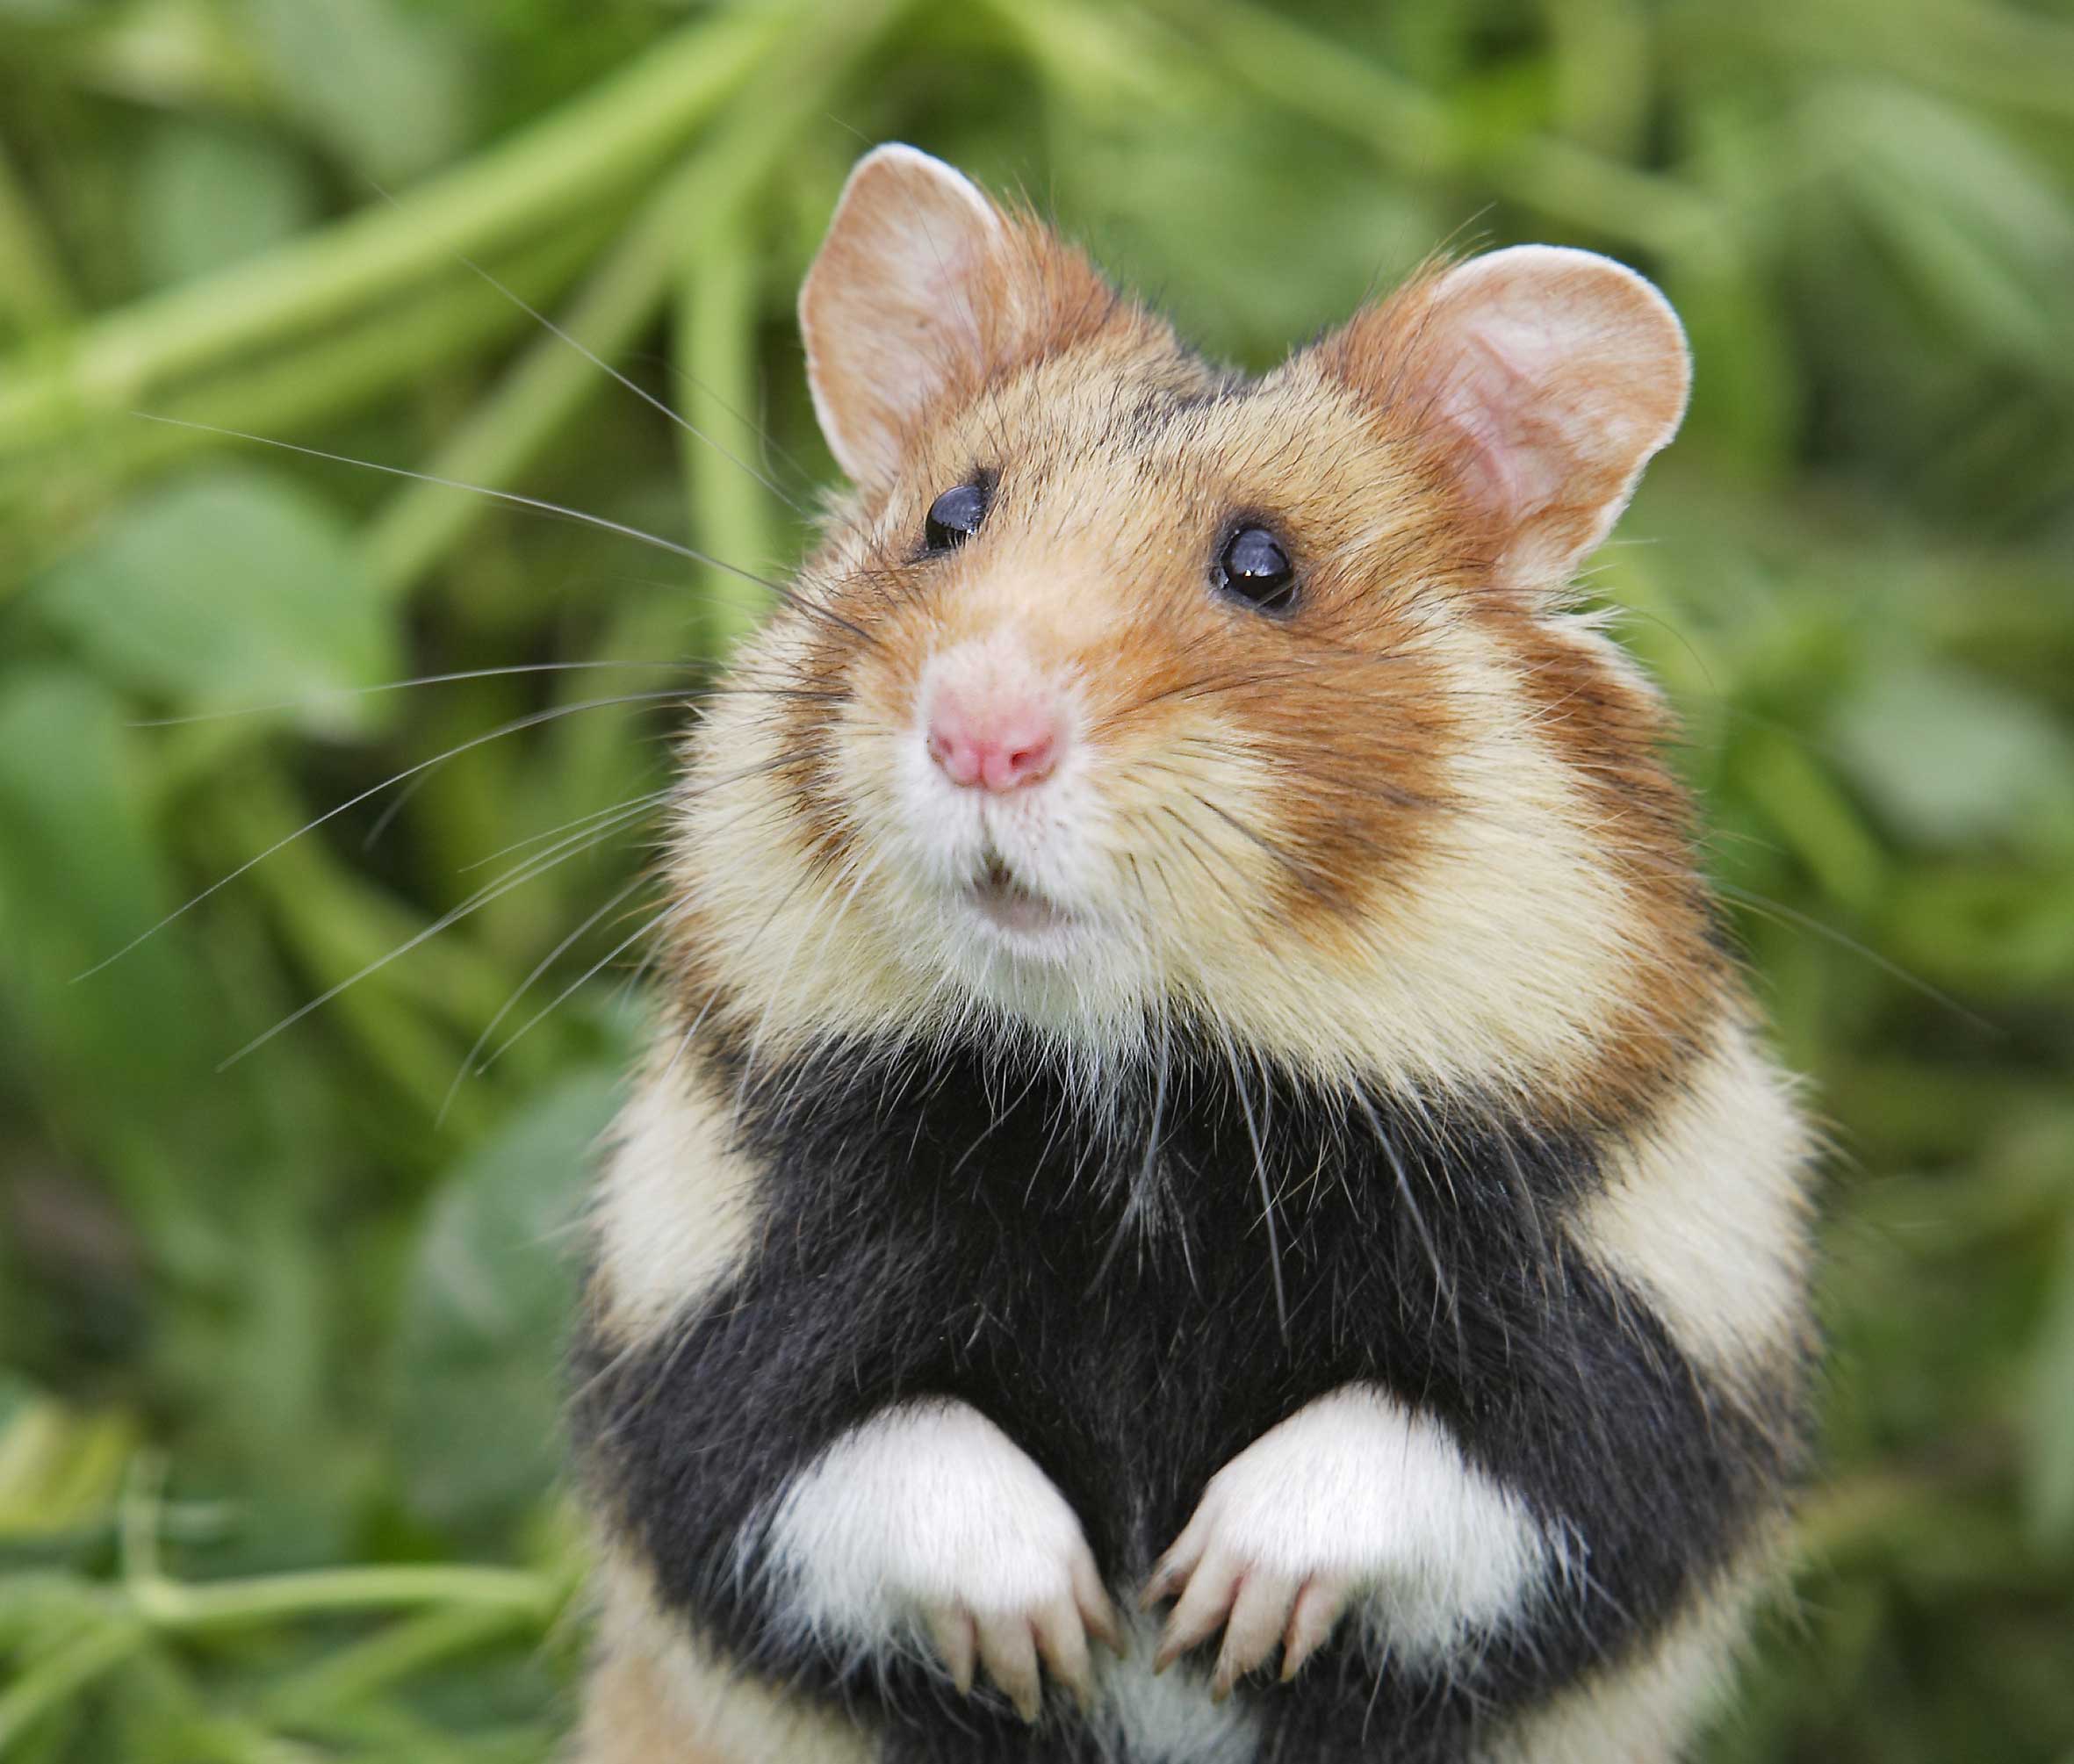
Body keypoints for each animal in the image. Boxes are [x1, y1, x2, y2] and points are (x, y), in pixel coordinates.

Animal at [564, 140, 1817, 1764]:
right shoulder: (711, 1318)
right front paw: (1060, 1632)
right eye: (947, 518)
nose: (981, 733)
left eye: (1262, 564)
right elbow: (880, 1450)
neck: (1131, 1080)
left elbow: (1419, 1448)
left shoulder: (1634, 1352)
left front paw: (1213, 1608)